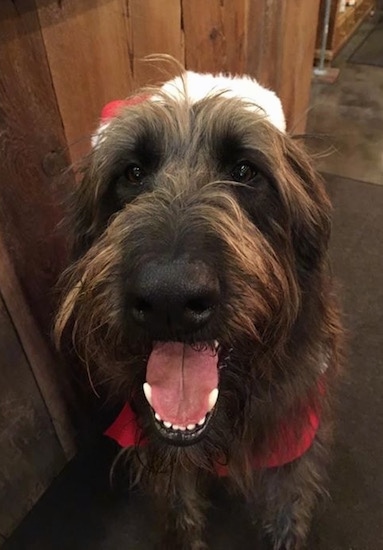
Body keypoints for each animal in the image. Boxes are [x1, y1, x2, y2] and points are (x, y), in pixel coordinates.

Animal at [55, 71, 344, 548]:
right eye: (132, 173)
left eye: (244, 171)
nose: (168, 298)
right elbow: (179, 510)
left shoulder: (295, 440)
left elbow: (289, 502)